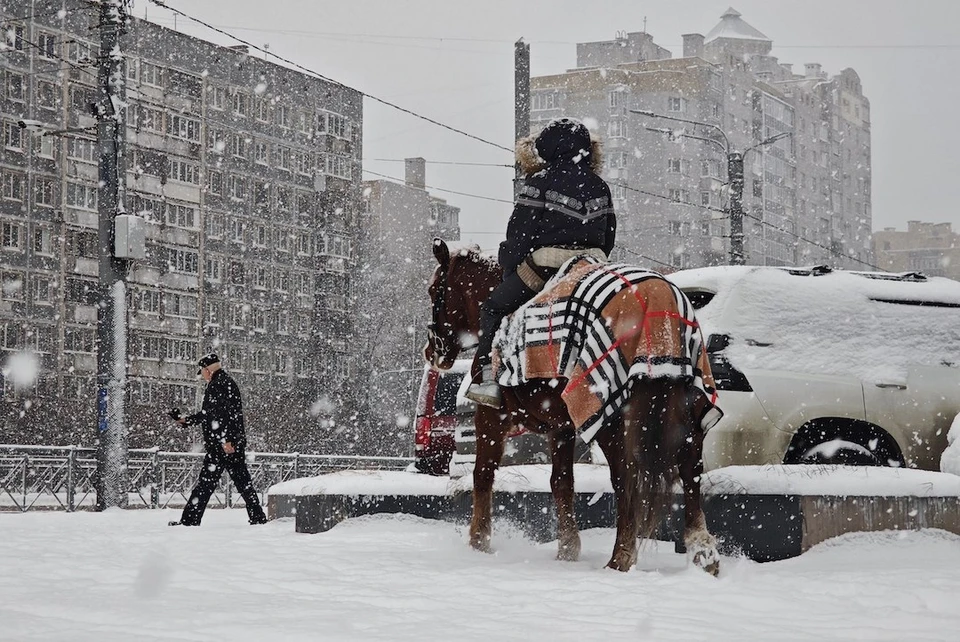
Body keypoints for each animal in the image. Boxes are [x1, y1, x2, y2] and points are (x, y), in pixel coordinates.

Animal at [422, 238, 720, 572]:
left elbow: (483, 474)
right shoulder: (562, 428)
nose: (431, 351)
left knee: (626, 477)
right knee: (690, 471)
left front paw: (479, 541)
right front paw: (567, 547)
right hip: (687, 411)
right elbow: (561, 482)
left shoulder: (491, 417)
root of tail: (658, 298)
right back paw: (703, 553)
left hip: (612, 418)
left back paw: (621, 556)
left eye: (434, 290)